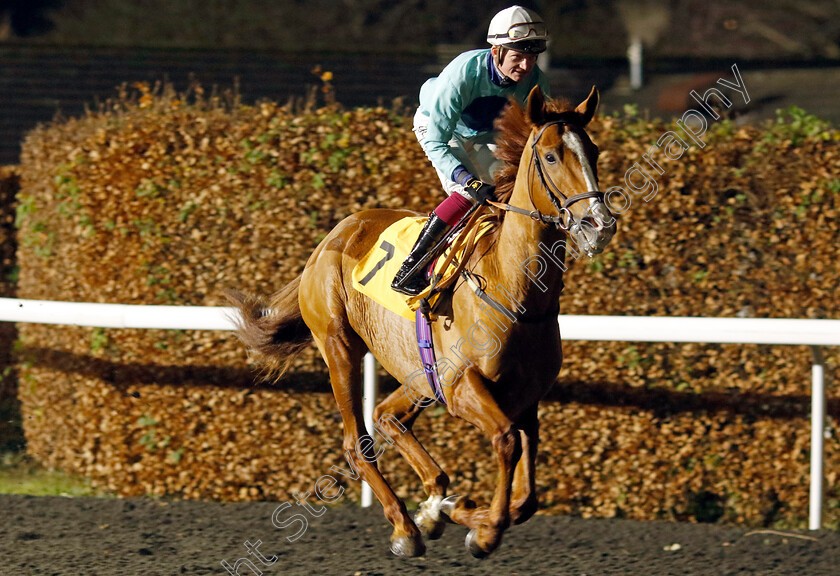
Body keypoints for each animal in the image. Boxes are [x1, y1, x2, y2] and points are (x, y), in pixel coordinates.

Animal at [226, 85, 620, 560]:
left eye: (593, 151)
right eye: (550, 156)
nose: (598, 225)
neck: (513, 287)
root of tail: (332, 236)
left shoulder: (525, 399)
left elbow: (526, 495)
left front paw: (458, 512)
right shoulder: (460, 385)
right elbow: (506, 440)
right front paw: (483, 532)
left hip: (416, 373)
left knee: (386, 417)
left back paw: (433, 504)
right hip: (340, 346)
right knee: (357, 441)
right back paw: (406, 528)